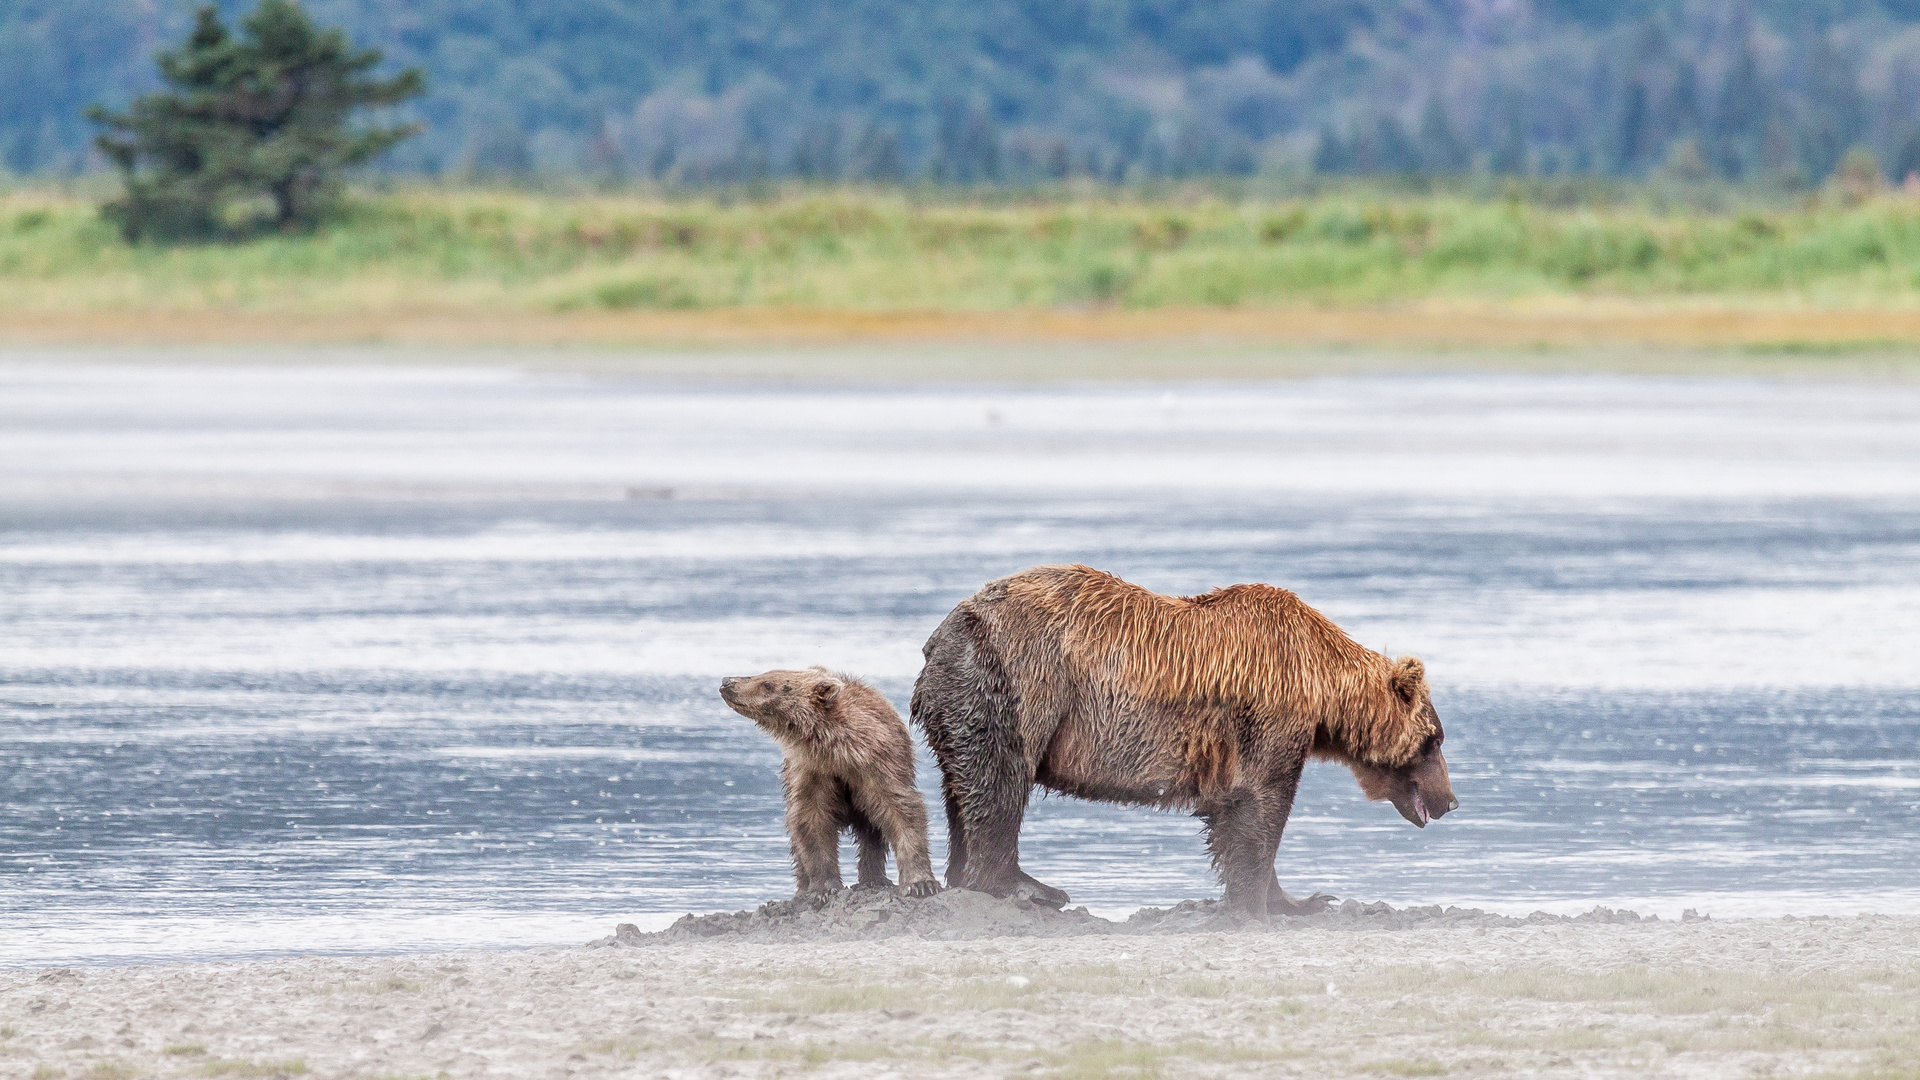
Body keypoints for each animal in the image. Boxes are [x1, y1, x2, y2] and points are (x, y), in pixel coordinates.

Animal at [913, 568, 1451, 910]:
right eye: (1435, 739)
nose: (1450, 800)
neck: (1320, 683)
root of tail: (939, 637)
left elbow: (1234, 809)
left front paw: (1301, 899)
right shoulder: (1269, 710)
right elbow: (1260, 802)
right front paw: (1256, 901)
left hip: (962, 699)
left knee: (962, 786)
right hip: (1014, 681)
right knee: (1000, 782)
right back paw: (1029, 888)